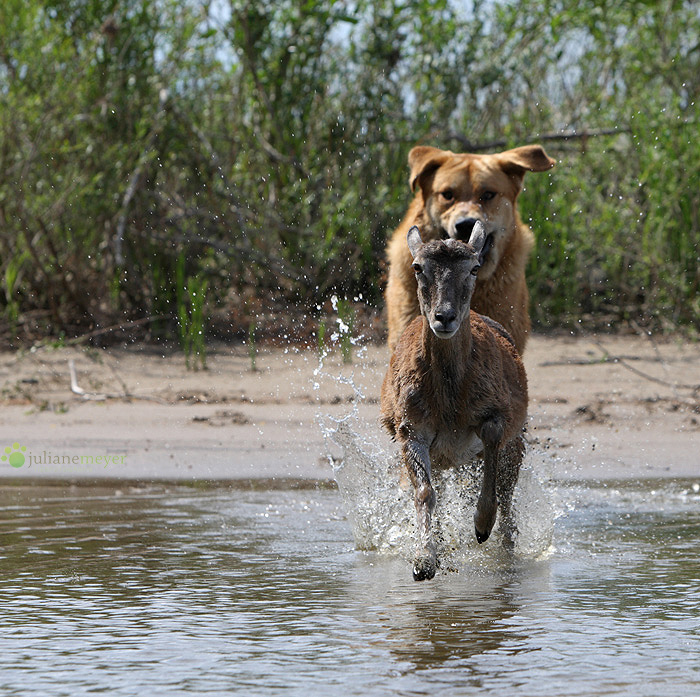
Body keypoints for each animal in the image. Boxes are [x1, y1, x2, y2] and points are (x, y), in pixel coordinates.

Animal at [380, 224, 528, 580]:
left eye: (473, 268)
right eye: (417, 267)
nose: (444, 317)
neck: (449, 407)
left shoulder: (496, 416)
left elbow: (494, 474)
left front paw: (481, 527)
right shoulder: (411, 428)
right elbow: (424, 493)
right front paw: (424, 562)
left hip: (517, 443)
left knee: (509, 499)